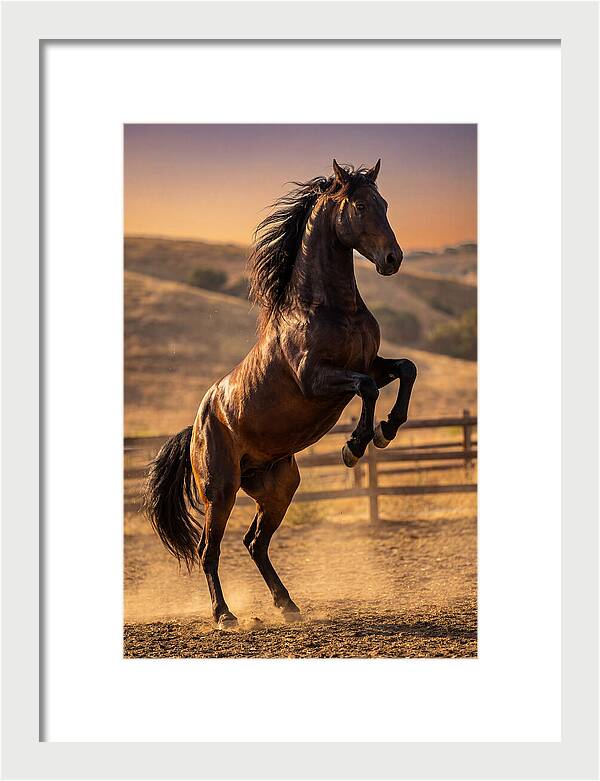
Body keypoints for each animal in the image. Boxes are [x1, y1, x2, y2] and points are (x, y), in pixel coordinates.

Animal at [143, 159, 417, 629]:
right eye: (360, 205)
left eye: (384, 203)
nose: (392, 259)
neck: (328, 308)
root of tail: (196, 424)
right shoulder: (316, 379)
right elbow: (365, 390)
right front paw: (354, 446)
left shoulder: (370, 364)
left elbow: (405, 370)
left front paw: (387, 429)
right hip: (221, 490)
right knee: (208, 549)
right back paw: (224, 615)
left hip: (278, 486)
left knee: (255, 542)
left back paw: (287, 605)